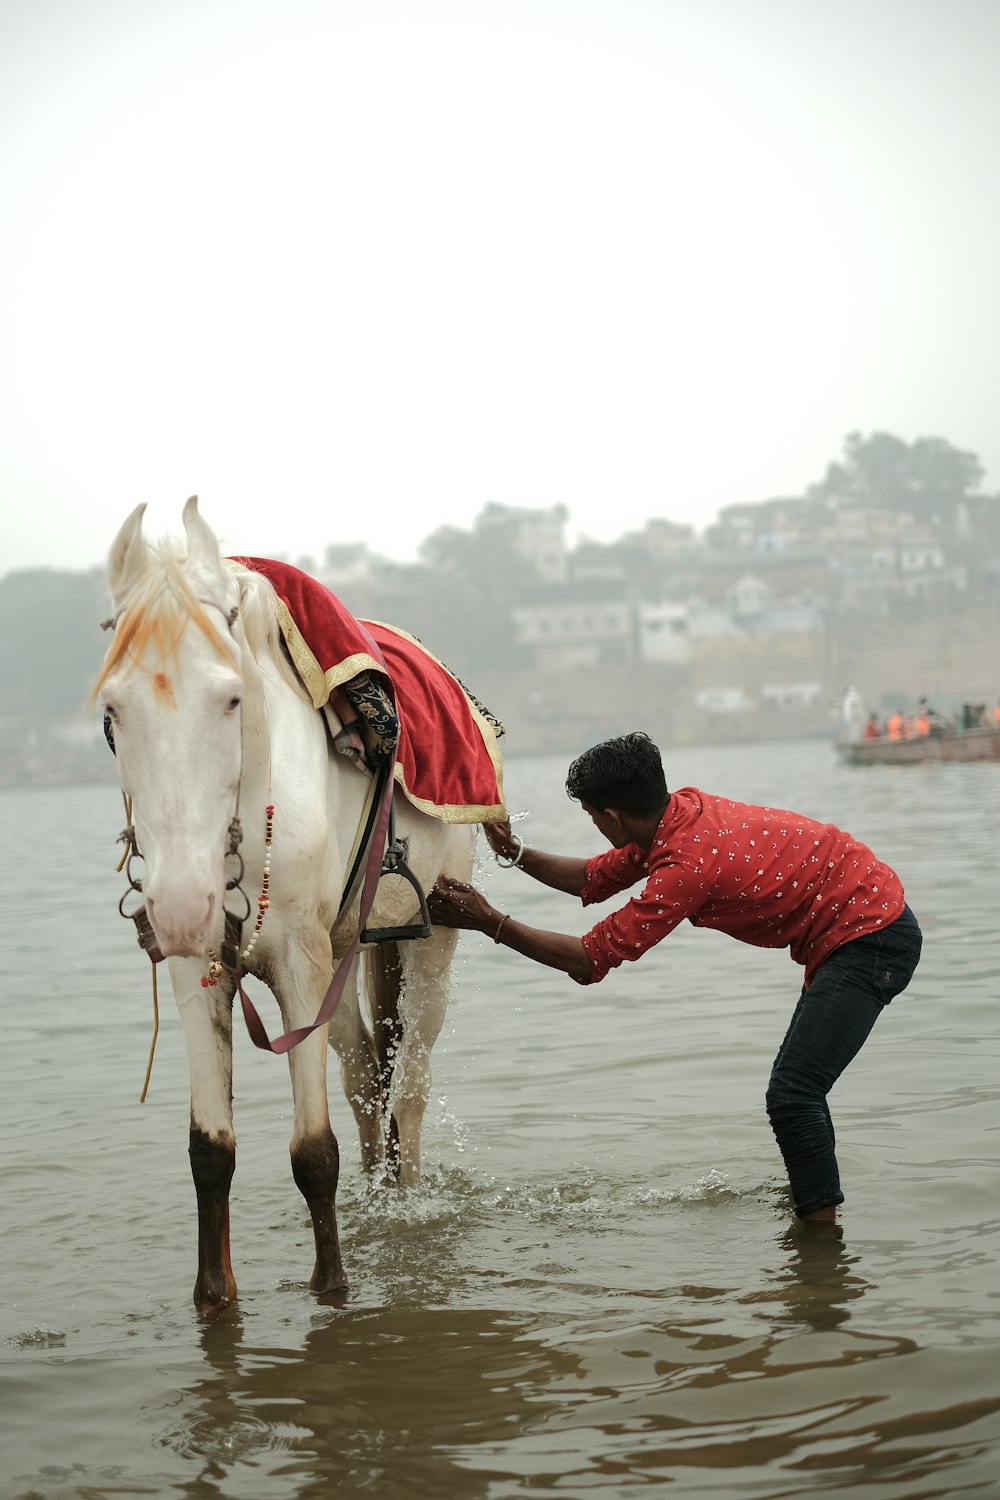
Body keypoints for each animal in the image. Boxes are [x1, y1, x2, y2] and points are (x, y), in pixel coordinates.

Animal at [91, 501, 491, 1314]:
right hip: (343, 954)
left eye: (231, 698)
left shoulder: (300, 968)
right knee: (366, 1073)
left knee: (410, 1083)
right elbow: (209, 1153)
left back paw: (405, 1202)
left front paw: (332, 1290)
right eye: (114, 706)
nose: (181, 902)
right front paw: (214, 1298)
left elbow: (312, 1153)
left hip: (431, 938)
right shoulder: (202, 969)